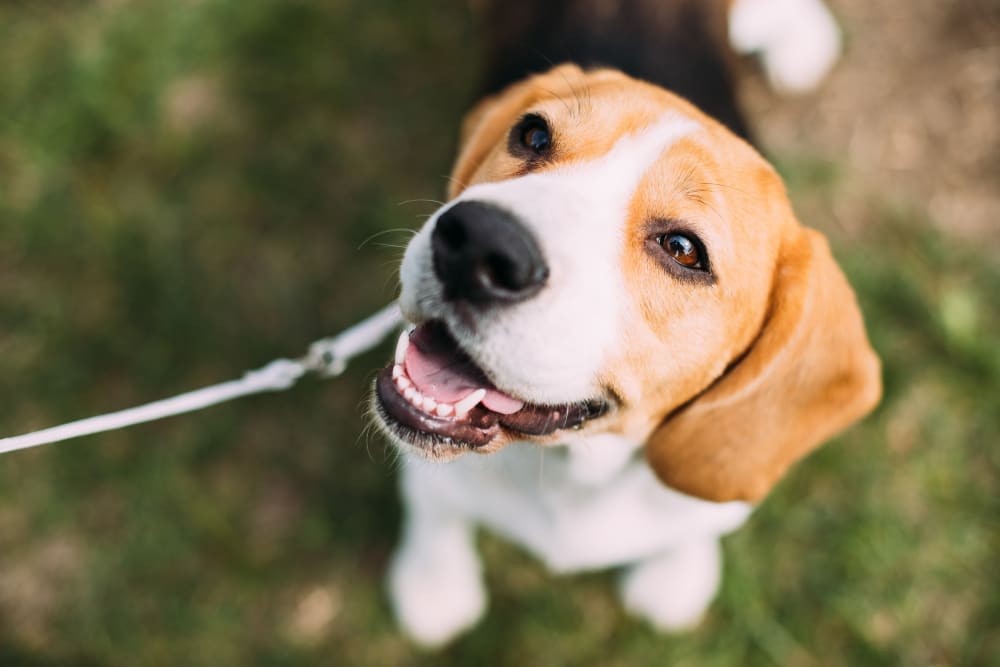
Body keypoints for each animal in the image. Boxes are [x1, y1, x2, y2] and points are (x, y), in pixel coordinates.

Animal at [372, 0, 880, 648]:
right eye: (532, 134)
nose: (477, 243)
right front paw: (434, 583)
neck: (575, 472)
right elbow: (435, 505)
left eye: (684, 249)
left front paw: (676, 575)